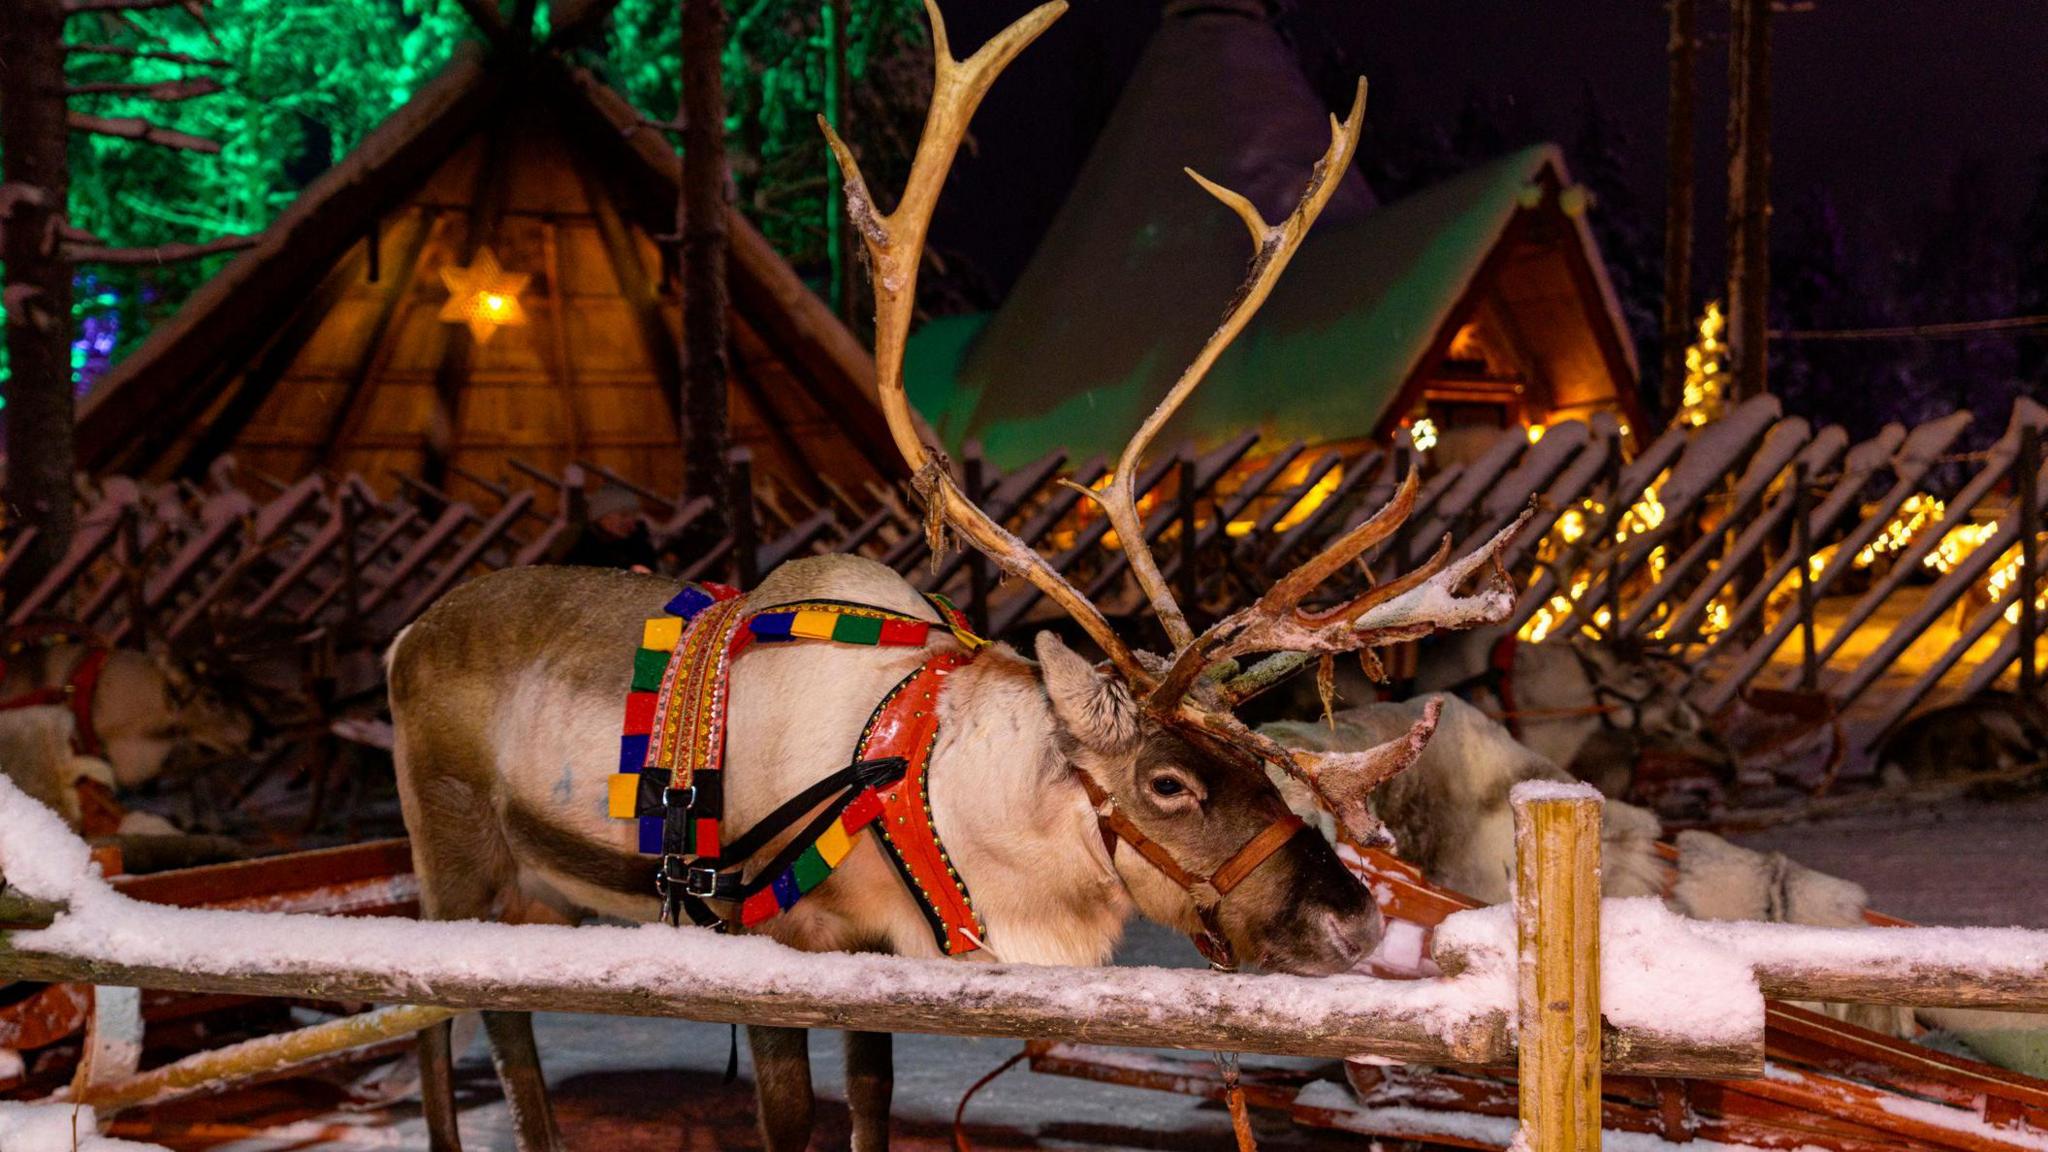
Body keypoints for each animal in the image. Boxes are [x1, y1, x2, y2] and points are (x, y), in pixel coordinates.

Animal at [386, 5, 1522, 1151]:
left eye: (1265, 767)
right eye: (1168, 784)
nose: (1357, 919)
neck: (927, 792)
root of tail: (401, 639)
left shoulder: (876, 959)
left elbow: (874, 1097)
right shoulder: (762, 942)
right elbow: (789, 1114)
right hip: (459, 863)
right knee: (451, 1010)